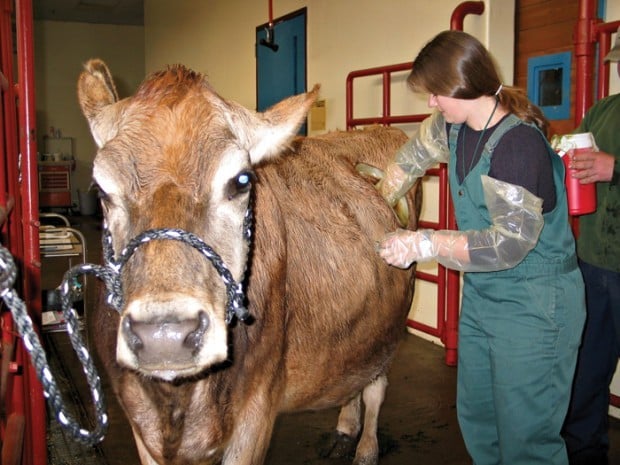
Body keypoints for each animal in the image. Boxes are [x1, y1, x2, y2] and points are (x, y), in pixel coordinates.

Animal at [78, 59, 422, 464]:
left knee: (375, 384)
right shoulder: (139, 419)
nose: (165, 336)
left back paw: (366, 446)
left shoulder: (256, 410)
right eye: (101, 190)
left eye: (241, 181)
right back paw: (345, 427)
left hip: (392, 321)